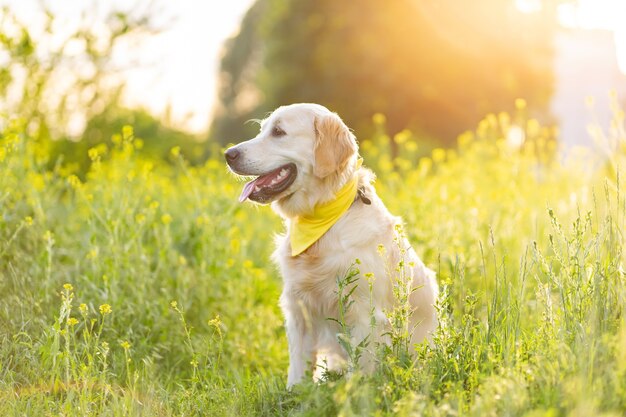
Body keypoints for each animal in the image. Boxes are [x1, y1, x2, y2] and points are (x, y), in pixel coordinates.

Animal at [222, 103, 436, 386]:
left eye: (278, 132)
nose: (228, 154)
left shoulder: (365, 313)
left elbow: (362, 369)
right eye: (262, 129)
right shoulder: (298, 309)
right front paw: (294, 393)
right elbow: (298, 369)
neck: (322, 220)